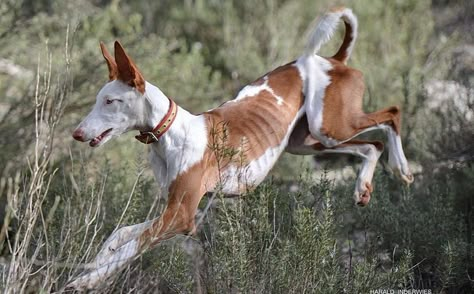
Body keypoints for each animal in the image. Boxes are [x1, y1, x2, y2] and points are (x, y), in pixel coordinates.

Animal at [69, 6, 412, 290]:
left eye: (111, 101)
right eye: (99, 99)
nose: (77, 133)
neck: (169, 133)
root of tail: (333, 60)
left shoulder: (182, 216)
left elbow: (131, 244)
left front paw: (90, 280)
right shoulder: (175, 209)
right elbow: (120, 235)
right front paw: (93, 267)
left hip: (329, 128)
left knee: (392, 115)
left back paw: (402, 168)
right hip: (307, 142)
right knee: (371, 146)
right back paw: (363, 187)